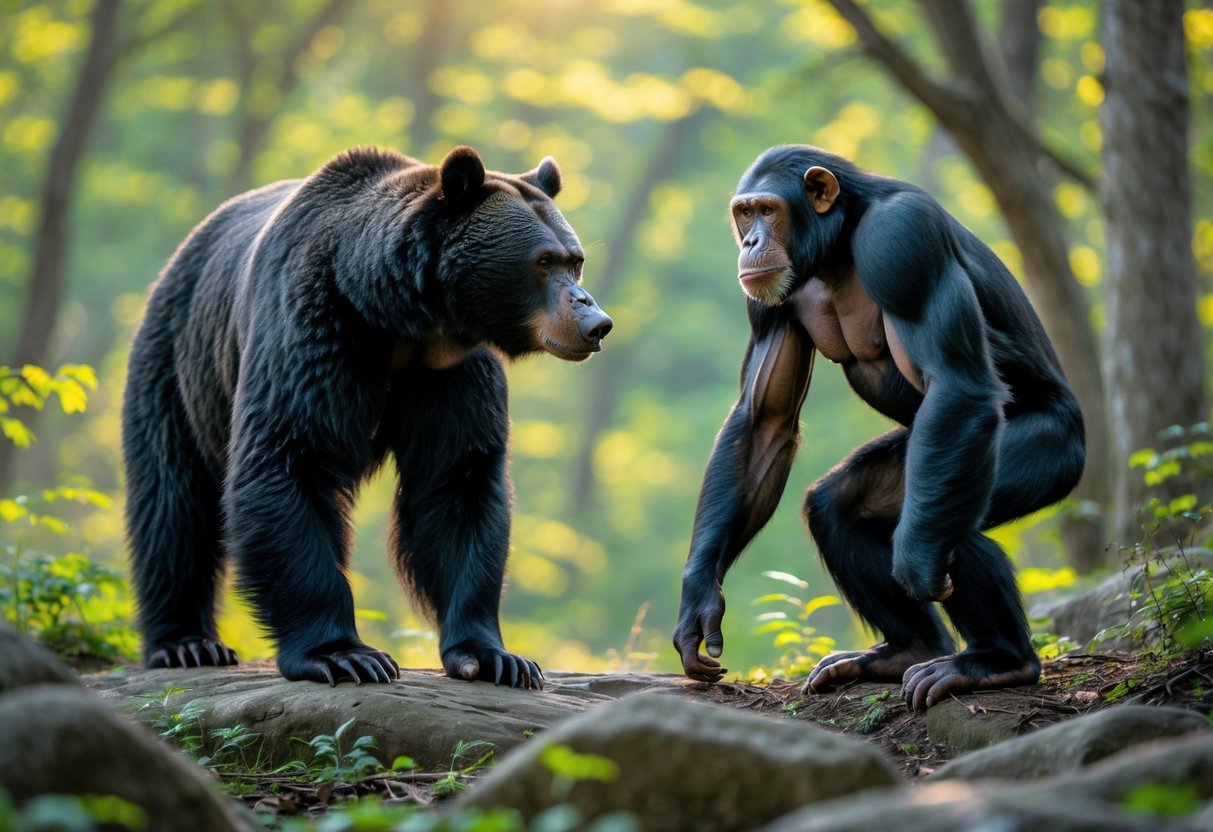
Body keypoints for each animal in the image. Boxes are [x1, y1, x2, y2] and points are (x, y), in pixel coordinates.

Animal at [121, 146, 612, 687]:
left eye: (576, 261)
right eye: (542, 262)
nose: (595, 321)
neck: (401, 319)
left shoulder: (451, 374)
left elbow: (457, 483)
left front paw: (494, 657)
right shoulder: (315, 334)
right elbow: (290, 458)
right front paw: (344, 654)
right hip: (179, 366)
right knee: (174, 499)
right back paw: (186, 643)